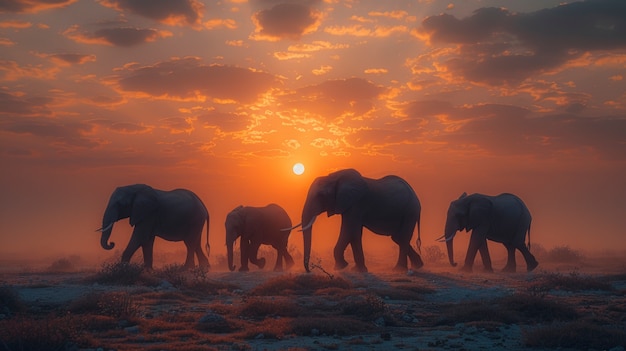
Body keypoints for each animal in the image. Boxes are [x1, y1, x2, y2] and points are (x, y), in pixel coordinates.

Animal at [288, 169, 424, 274]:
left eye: (321, 196)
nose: (309, 270)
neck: (334, 177)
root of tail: (416, 196)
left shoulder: (356, 204)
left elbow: (348, 230)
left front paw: (341, 267)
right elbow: (354, 233)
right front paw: (356, 270)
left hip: (410, 211)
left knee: (401, 237)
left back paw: (398, 270)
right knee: (397, 238)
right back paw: (418, 266)